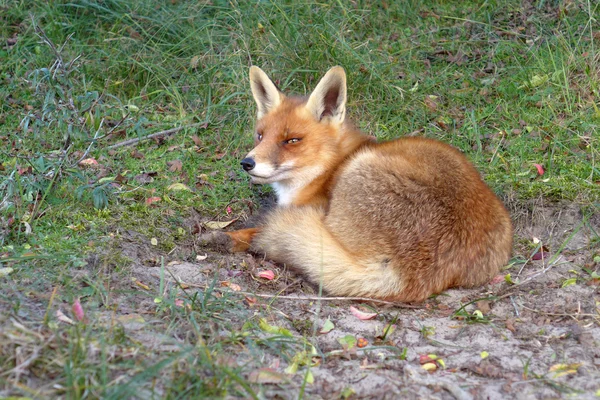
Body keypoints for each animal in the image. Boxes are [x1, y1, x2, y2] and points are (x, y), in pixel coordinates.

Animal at [216, 66, 510, 304]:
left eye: (292, 140)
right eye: (260, 136)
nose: (247, 163)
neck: (330, 167)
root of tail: (412, 275)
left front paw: (229, 234)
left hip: (354, 179)